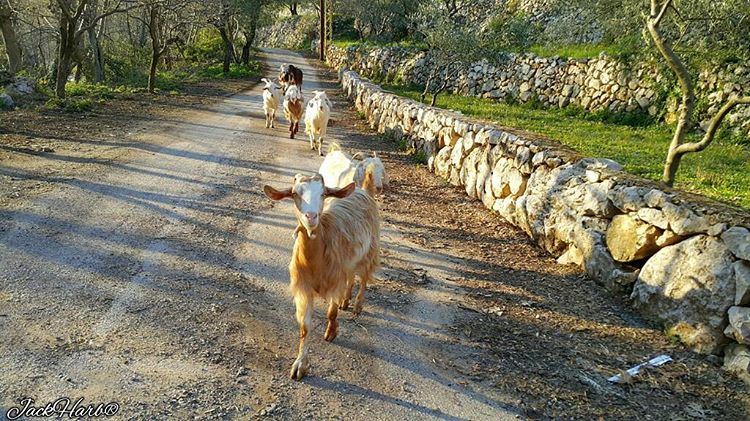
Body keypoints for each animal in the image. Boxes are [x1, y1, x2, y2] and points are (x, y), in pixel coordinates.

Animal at [264, 167, 382, 380]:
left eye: (323, 193)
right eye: (295, 194)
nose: (311, 217)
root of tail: (364, 190)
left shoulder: (335, 281)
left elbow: (331, 312)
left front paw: (331, 333)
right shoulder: (303, 287)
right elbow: (304, 327)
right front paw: (300, 364)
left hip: (371, 250)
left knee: (364, 277)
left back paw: (357, 305)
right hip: (349, 261)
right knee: (351, 275)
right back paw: (346, 300)